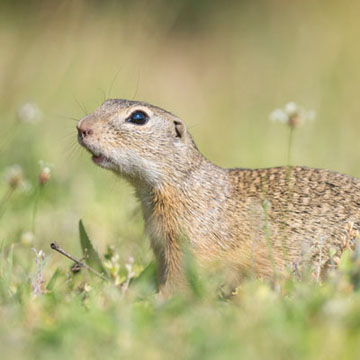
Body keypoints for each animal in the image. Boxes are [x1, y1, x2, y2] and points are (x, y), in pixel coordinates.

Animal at [76, 99, 360, 296]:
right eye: (104, 103)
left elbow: (180, 280)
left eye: (138, 117)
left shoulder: (191, 247)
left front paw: (156, 299)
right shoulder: (162, 247)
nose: (81, 127)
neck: (183, 183)